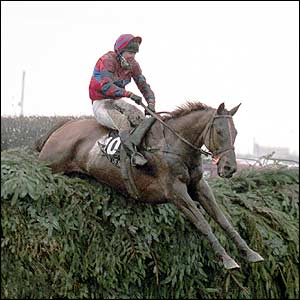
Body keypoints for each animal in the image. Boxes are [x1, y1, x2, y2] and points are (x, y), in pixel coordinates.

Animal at [35, 101, 264, 270]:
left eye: (235, 132)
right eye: (219, 131)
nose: (229, 168)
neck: (174, 145)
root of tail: (62, 126)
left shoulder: (199, 186)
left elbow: (223, 220)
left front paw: (250, 253)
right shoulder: (175, 192)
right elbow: (202, 223)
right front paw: (227, 259)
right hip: (51, 166)